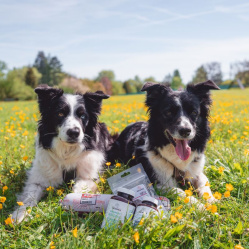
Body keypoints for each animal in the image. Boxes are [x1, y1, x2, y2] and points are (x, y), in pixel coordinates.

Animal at [12, 84, 112, 223]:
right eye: (60, 113)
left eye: (82, 116)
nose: (74, 132)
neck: (67, 151)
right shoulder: (37, 179)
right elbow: (28, 198)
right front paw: (19, 214)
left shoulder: (87, 177)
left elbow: (77, 191)